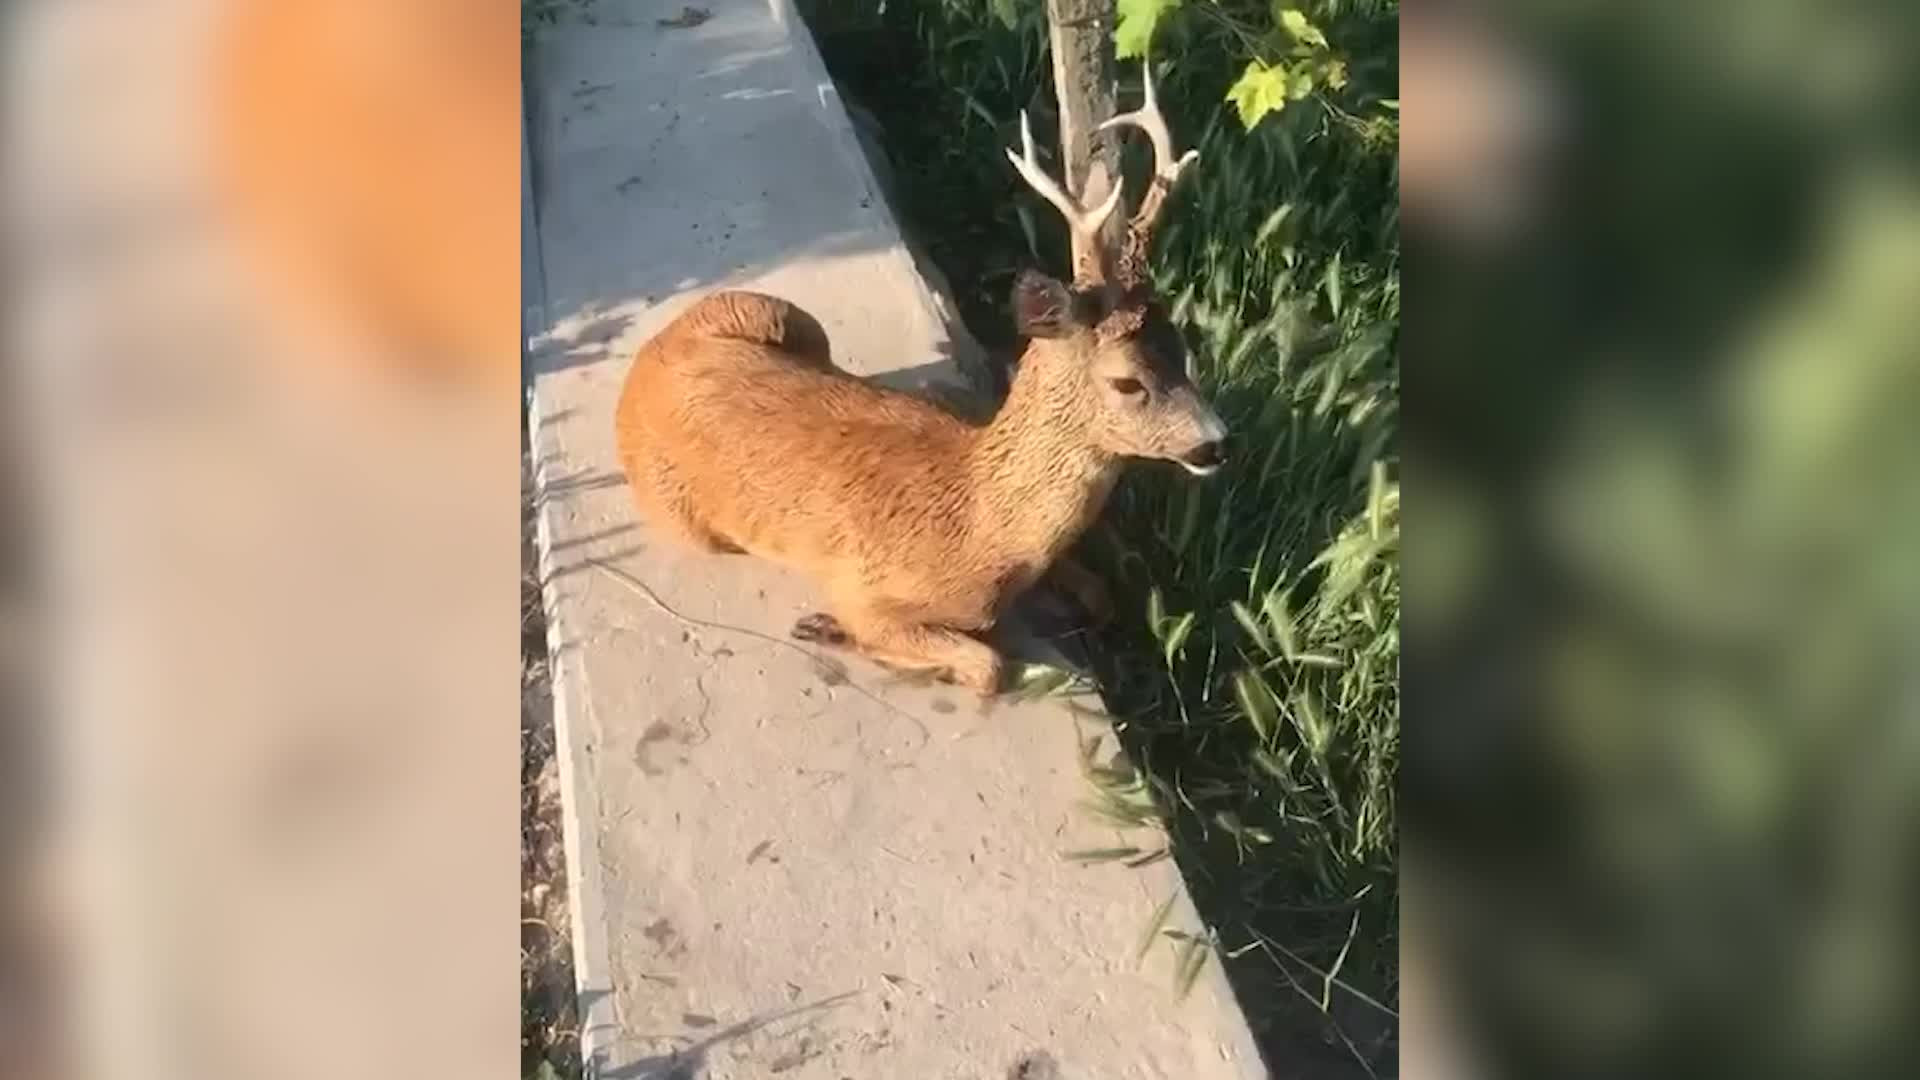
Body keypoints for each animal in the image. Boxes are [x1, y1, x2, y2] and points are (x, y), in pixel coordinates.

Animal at [606, 67, 1221, 687]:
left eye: (1184, 350)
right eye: (1128, 382)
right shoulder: (868, 592)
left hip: (778, 313)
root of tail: (645, 362)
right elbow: (988, 664)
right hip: (686, 516)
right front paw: (830, 628)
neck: (985, 532)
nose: (1216, 443)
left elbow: (1103, 596)